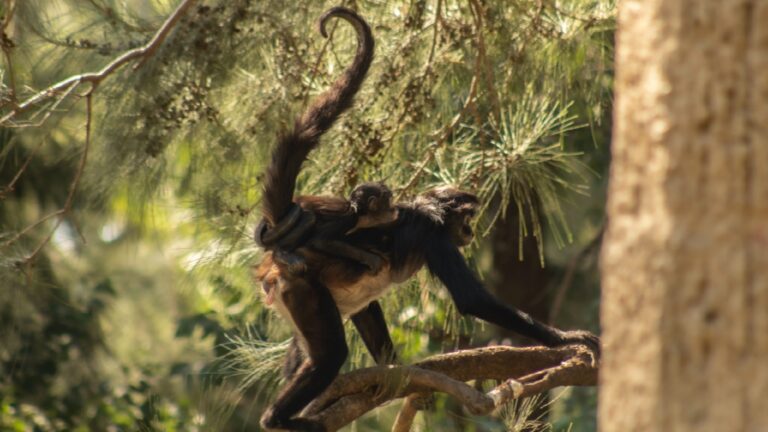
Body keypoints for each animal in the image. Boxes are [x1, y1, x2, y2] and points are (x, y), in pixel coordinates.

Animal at [255, 7, 596, 432]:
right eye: (467, 217)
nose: (471, 230)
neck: (425, 208)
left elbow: (369, 312)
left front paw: (395, 371)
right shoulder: (436, 235)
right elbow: (471, 299)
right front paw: (567, 339)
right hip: (303, 286)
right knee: (330, 354)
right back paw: (276, 418)